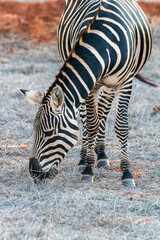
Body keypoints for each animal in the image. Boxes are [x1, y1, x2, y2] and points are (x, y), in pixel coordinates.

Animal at [20, 0, 157, 187]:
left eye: (49, 133)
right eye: (34, 130)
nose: (34, 173)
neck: (104, 44)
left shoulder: (126, 81)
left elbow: (121, 126)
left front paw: (127, 173)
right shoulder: (90, 85)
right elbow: (91, 124)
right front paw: (88, 169)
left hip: (110, 84)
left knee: (104, 111)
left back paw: (102, 155)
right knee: (87, 117)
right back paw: (84, 158)